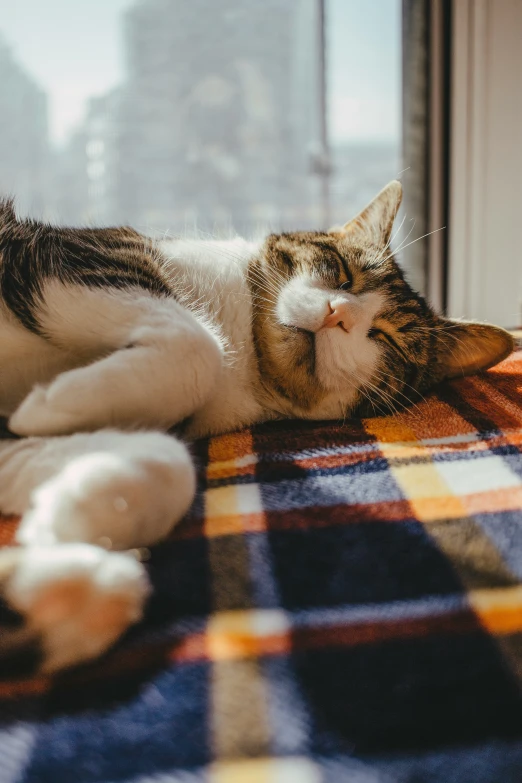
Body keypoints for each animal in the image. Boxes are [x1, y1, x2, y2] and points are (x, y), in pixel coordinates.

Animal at [0, 181, 512, 672]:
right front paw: (57, 402)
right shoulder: (91, 254)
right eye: (342, 272)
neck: (245, 352)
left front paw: (69, 513)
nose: (338, 314)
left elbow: (167, 462)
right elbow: (197, 345)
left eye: (386, 338)